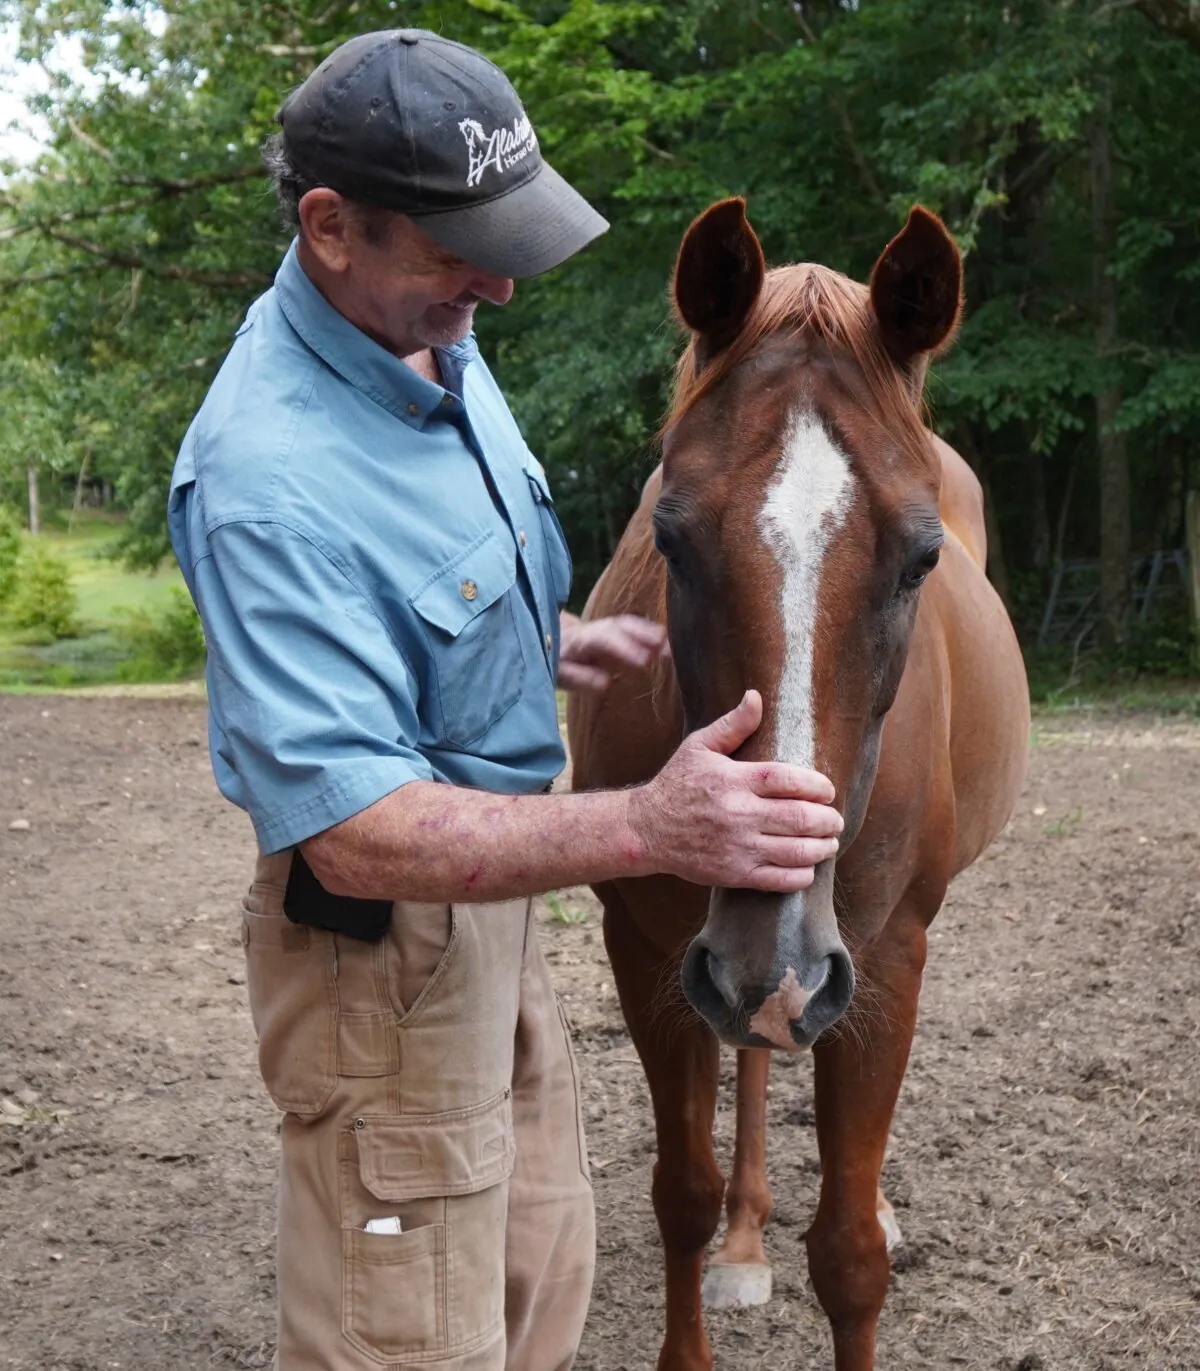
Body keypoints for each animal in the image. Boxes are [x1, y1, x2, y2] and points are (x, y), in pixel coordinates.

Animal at [567, 198, 1030, 1371]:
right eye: (670, 536)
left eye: (920, 561)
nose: (770, 961)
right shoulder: (649, 945)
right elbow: (680, 1192)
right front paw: (718, 1253)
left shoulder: (878, 954)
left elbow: (849, 1253)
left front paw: (863, 1228)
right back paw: (745, 1237)